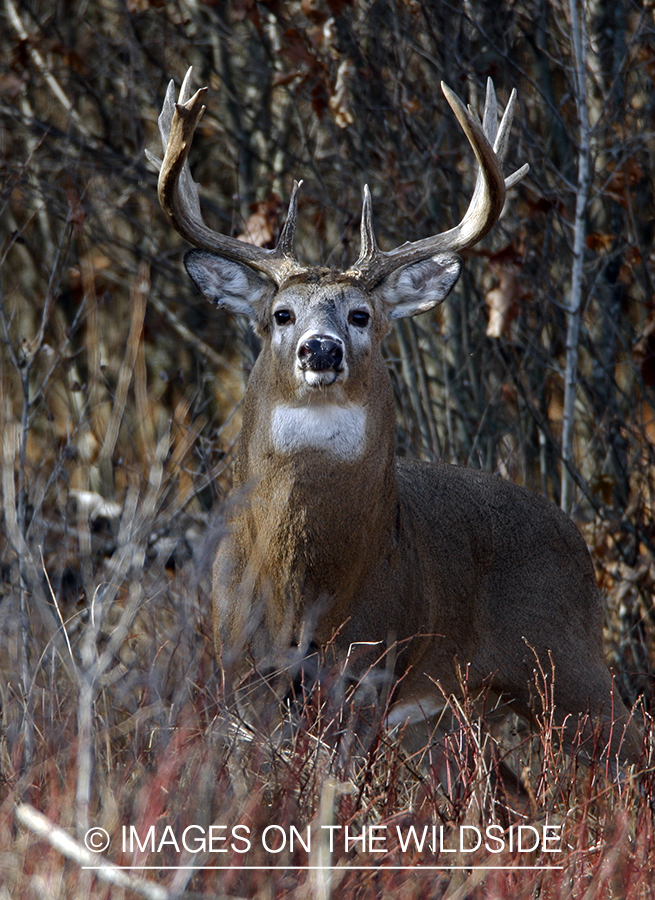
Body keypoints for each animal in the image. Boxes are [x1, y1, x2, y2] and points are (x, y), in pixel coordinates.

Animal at [147, 68, 640, 768]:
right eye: (281, 314)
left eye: (360, 315)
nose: (320, 350)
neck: (304, 586)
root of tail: (572, 533)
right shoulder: (237, 669)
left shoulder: (370, 666)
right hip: (449, 717)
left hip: (570, 672)